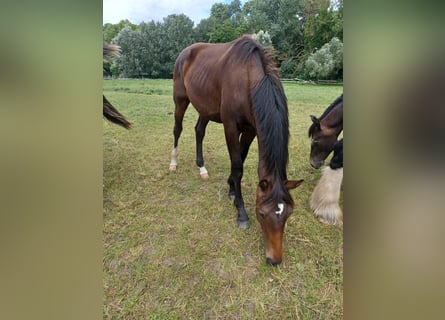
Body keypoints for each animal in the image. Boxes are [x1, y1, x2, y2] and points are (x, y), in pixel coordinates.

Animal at [168, 35, 304, 264]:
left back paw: (202, 168)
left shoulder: (251, 129)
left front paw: (231, 189)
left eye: (288, 214)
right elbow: (238, 165)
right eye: (261, 214)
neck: (248, 78)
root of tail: (185, 52)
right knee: (178, 129)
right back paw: (173, 162)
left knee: (199, 131)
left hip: (204, 107)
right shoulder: (230, 126)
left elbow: (241, 156)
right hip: (181, 100)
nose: (274, 259)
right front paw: (240, 211)